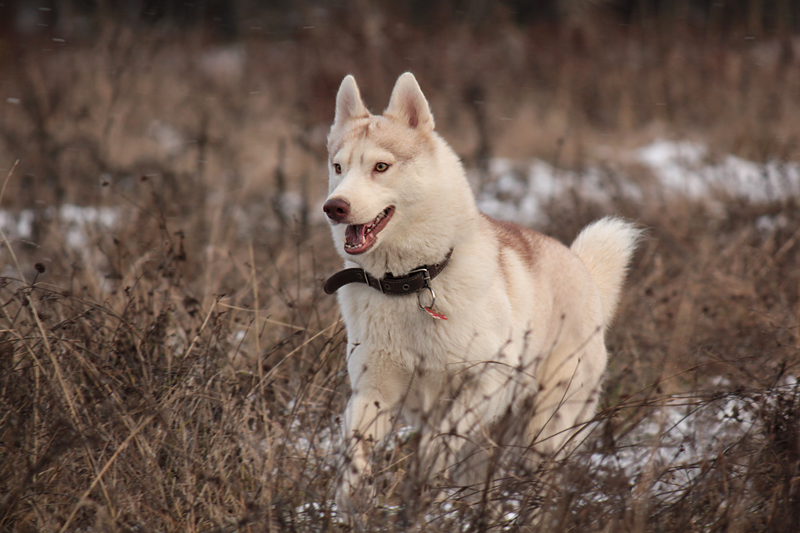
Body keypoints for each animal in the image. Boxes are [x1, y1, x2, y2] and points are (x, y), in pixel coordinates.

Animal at [322, 72, 640, 510]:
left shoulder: (490, 381)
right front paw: (350, 502)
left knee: (542, 476)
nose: (333, 207)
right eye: (338, 167)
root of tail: (583, 269)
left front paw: (421, 478)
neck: (411, 282)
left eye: (380, 167)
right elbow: (352, 451)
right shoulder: (373, 391)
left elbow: (437, 441)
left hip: (546, 428)